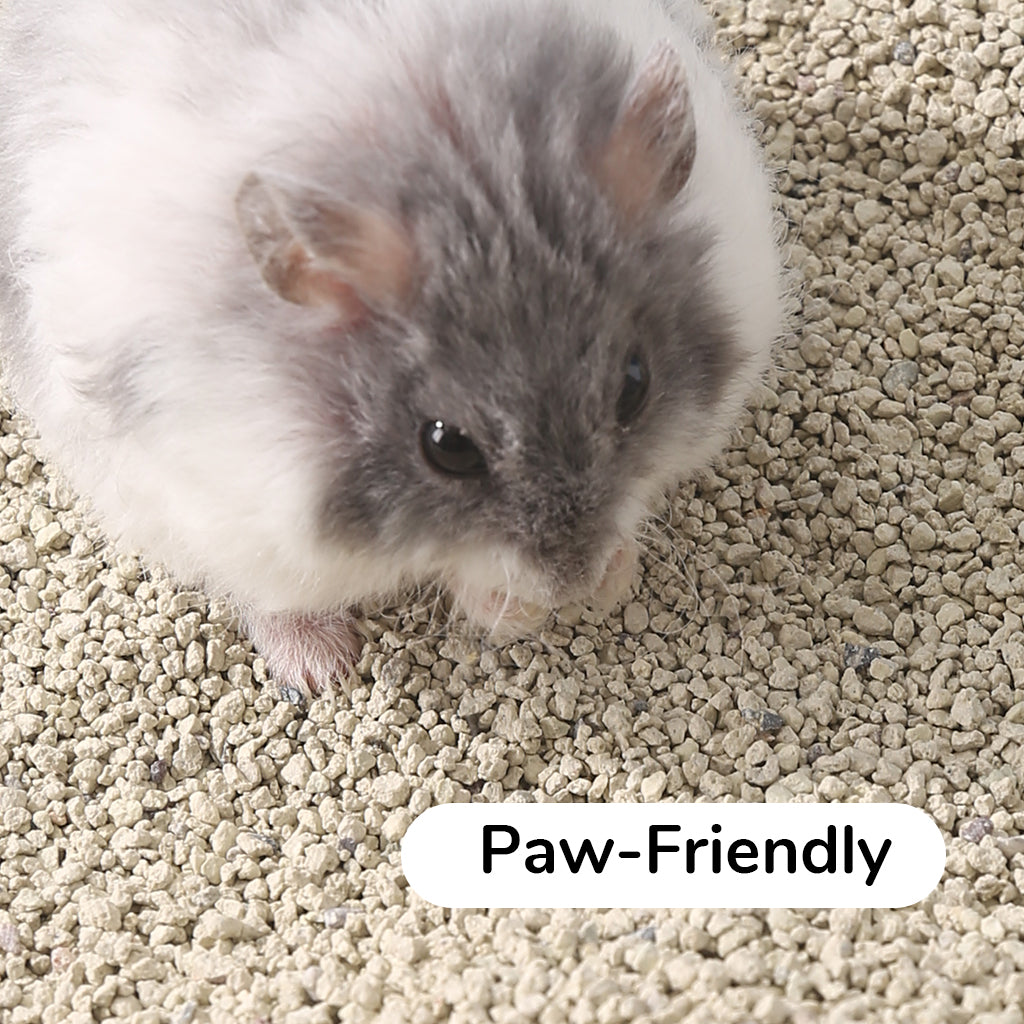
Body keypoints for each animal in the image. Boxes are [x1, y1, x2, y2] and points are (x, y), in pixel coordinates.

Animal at [0, 0, 785, 696]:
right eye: (446, 446)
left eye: (635, 387)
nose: (576, 583)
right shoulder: (214, 499)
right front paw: (505, 614)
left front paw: (611, 580)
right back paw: (322, 667)